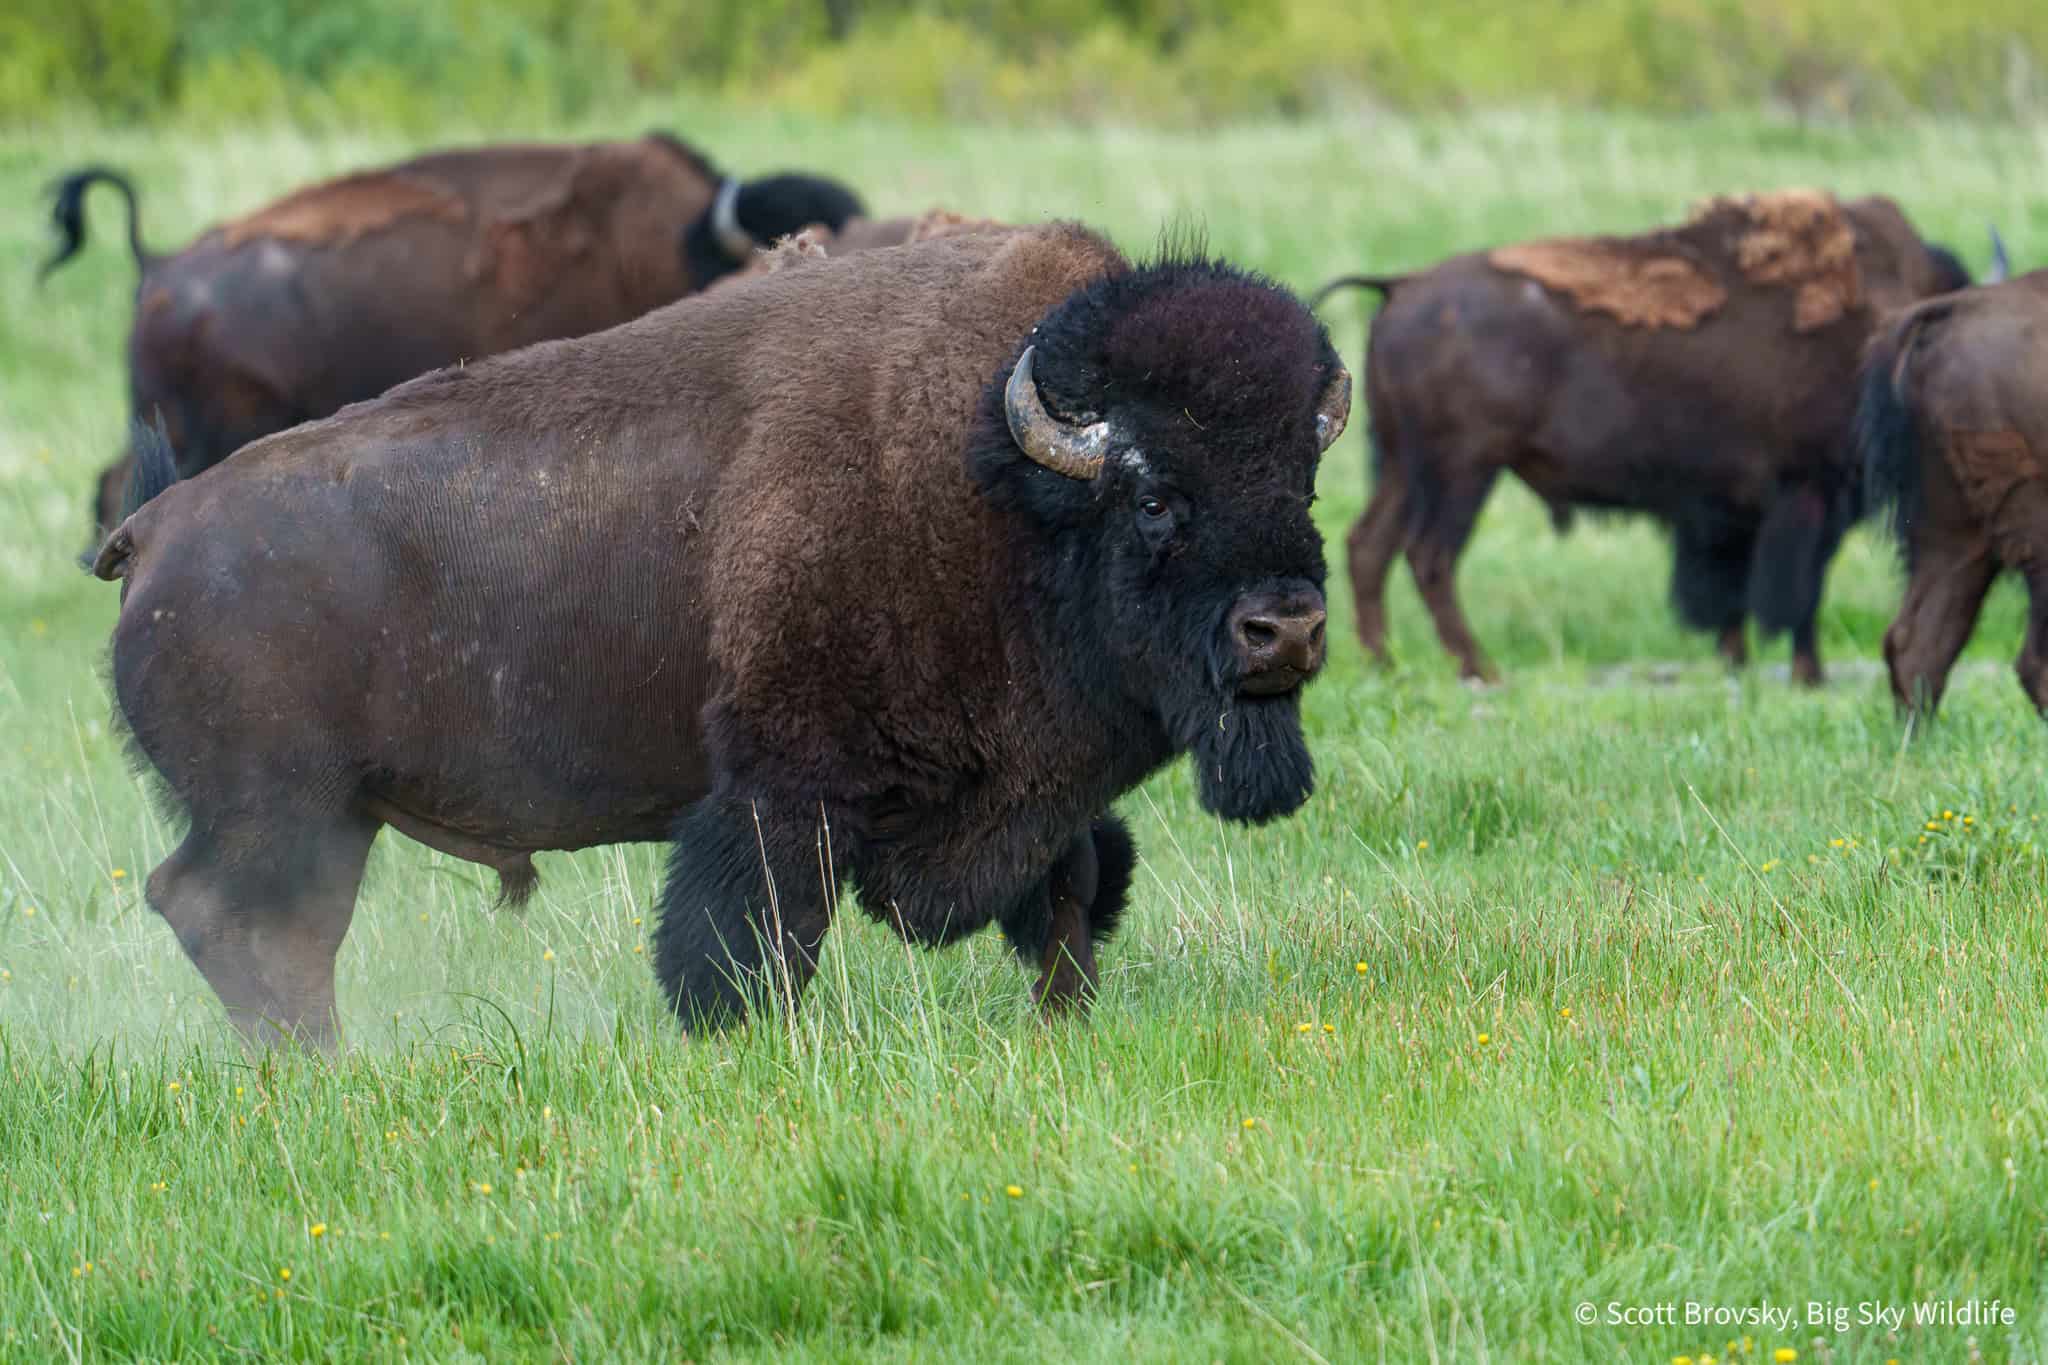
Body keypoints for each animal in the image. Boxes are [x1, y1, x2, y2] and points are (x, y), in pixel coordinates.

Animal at [91, 223, 1352, 1048]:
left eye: (1301, 480)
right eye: (1154, 497)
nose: (1282, 629)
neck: (998, 487)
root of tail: (156, 529)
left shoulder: (1030, 790)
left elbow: (1073, 889)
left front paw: (1062, 1021)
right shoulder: (785, 790)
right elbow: (751, 937)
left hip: (320, 817)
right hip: (286, 815)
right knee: (248, 923)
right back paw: (316, 1065)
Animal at [1316, 191, 1977, 686]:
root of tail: (1403, 284)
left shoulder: (1736, 508)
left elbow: (1734, 590)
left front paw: (1738, 663)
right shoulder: (1810, 497)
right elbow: (1795, 594)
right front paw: (1806, 675)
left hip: (1405, 467)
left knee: (1369, 547)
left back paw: (1386, 664)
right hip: (1463, 471)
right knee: (1430, 558)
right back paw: (1480, 668)